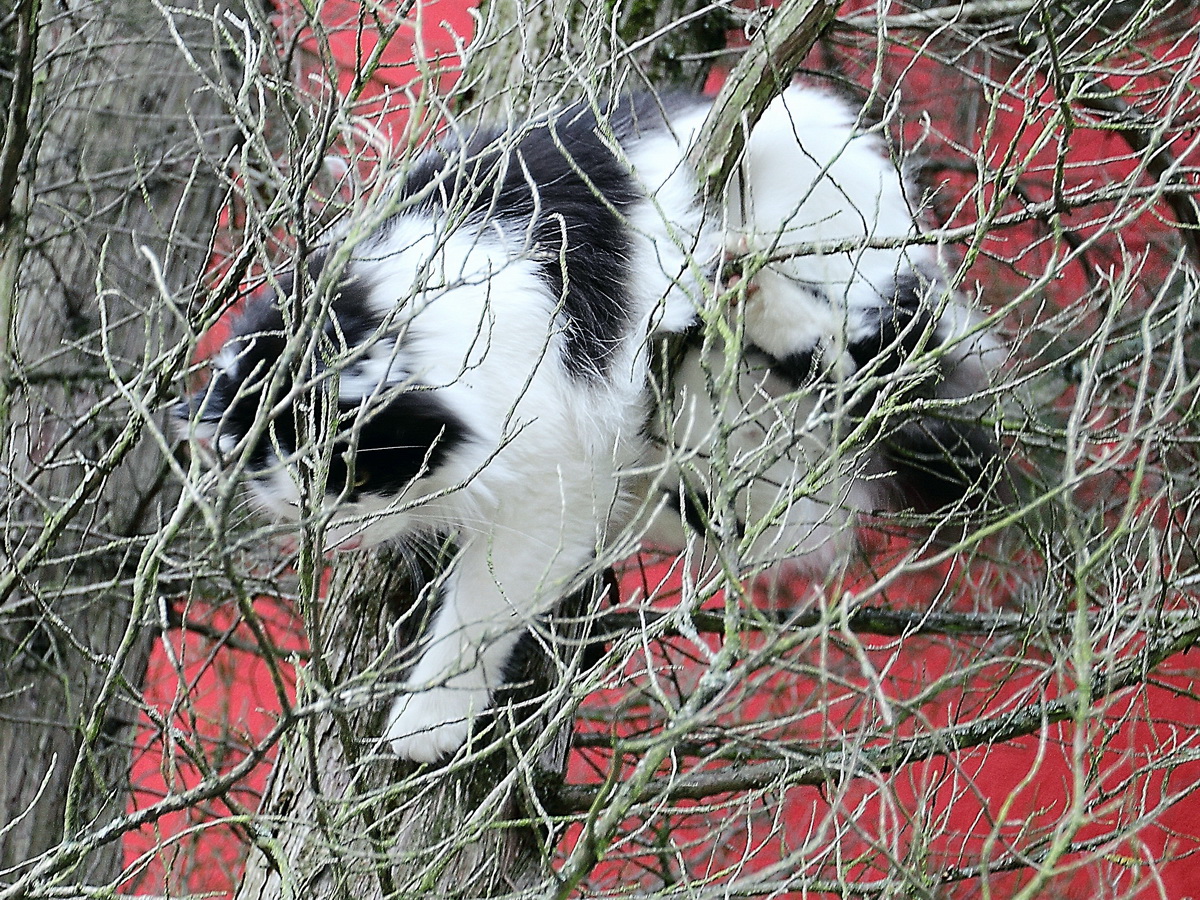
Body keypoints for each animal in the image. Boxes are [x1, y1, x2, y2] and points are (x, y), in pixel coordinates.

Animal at [180, 82, 1003, 763]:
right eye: (284, 498)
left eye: (347, 482)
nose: (336, 538)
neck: (397, 305)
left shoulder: (550, 482)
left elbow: (478, 611)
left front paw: (425, 724)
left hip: (824, 250)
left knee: (853, 357)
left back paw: (750, 291)